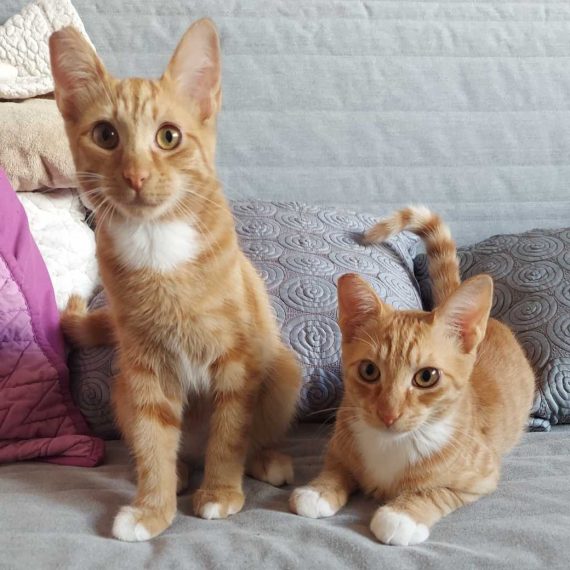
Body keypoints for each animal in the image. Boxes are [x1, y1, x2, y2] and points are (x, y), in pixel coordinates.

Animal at [49, 20, 301, 542]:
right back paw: (183, 469)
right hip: (122, 387)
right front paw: (153, 507)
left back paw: (266, 460)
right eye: (106, 135)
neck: (157, 244)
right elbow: (152, 439)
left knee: (256, 435)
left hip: (285, 371)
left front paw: (222, 493)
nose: (136, 175)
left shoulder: (235, 362)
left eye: (168, 137)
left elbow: (230, 435)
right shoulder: (145, 369)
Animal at [290, 206, 535, 545]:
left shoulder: (482, 476)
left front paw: (401, 515)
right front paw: (318, 491)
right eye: (369, 370)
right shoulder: (339, 443)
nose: (388, 413)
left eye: (427, 377)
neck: (393, 444)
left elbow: (437, 491)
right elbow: (336, 467)